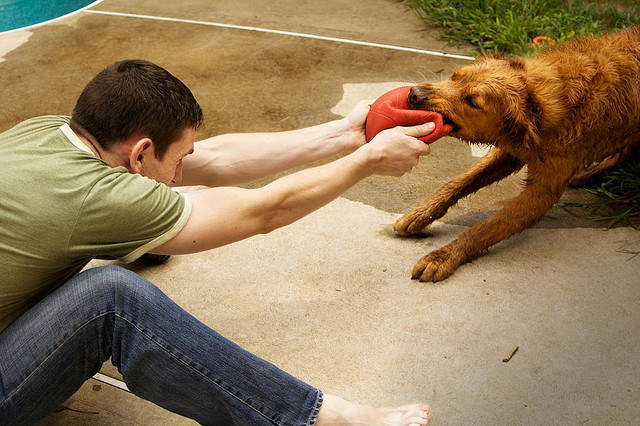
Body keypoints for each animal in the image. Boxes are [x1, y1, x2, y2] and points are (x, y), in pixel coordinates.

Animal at [396, 25, 640, 282]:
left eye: (472, 101)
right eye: (454, 76)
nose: (414, 93)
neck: (539, 106)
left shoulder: (540, 194)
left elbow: (482, 228)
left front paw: (443, 256)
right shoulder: (511, 149)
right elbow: (458, 182)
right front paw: (421, 213)